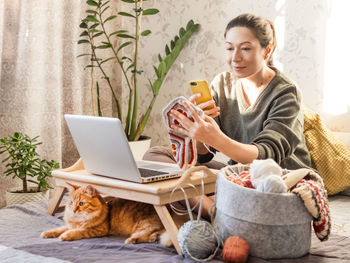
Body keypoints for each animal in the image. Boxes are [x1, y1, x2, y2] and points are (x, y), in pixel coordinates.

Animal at [41, 184, 172, 248]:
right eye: (71, 203)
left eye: (81, 204)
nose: (73, 210)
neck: (80, 220)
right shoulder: (71, 225)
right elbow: (59, 229)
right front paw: (47, 233)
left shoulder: (97, 230)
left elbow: (77, 232)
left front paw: (65, 236)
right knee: (154, 234)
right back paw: (153, 238)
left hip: (142, 225)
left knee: (144, 235)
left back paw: (131, 240)